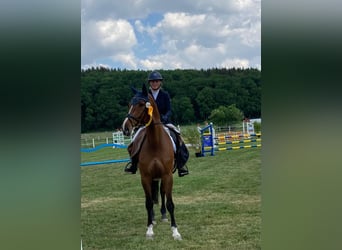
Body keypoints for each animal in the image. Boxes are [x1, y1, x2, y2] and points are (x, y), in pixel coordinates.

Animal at [122, 83, 183, 239]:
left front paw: (175, 231)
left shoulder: (167, 176)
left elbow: (170, 203)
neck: (155, 142)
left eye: (141, 104)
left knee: (161, 192)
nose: (125, 128)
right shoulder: (145, 177)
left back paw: (163, 215)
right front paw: (149, 229)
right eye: (129, 104)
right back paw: (154, 217)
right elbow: (148, 202)